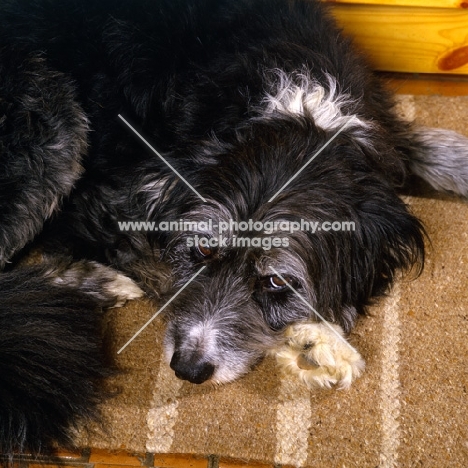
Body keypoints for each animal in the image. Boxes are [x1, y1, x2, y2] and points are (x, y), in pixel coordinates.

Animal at [0, 0, 468, 460]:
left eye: (276, 281)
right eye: (204, 251)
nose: (188, 370)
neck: (299, 110)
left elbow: (425, 147)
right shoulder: (106, 204)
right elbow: (160, 269)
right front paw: (314, 342)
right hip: (51, 112)